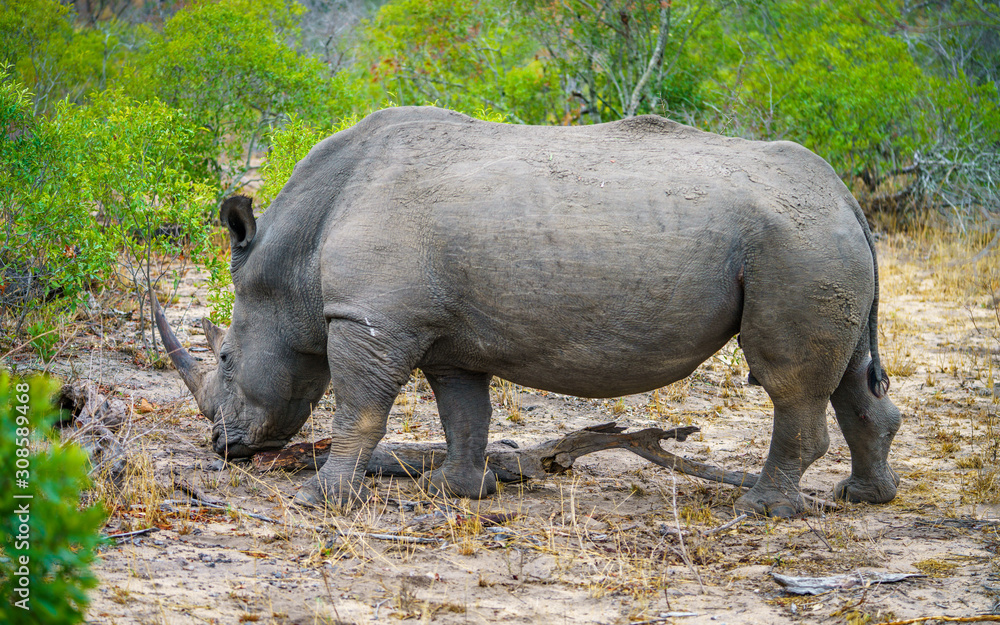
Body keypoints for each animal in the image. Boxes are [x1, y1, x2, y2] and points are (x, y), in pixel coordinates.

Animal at [155, 106, 902, 517]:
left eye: (227, 357)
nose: (223, 446)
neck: (293, 259)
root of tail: (845, 196)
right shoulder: (445, 334)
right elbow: (463, 412)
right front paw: (455, 492)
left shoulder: (370, 319)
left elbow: (359, 411)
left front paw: (320, 500)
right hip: (816, 242)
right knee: (847, 374)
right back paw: (863, 497)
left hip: (795, 243)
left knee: (787, 381)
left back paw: (759, 511)